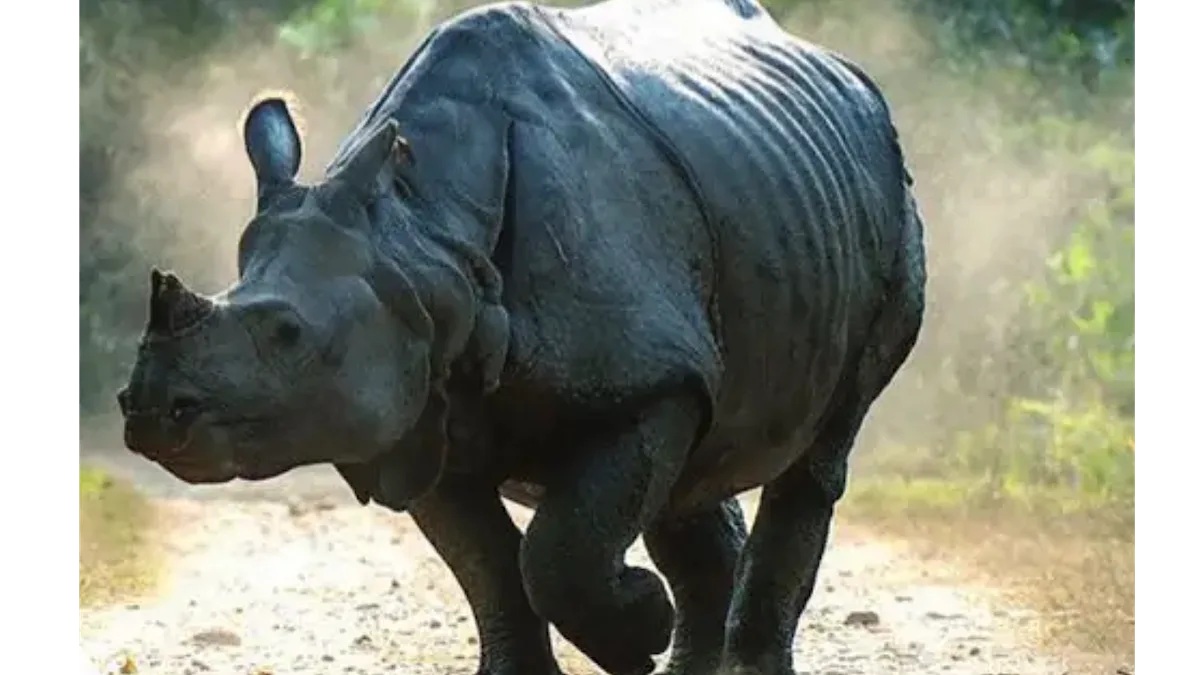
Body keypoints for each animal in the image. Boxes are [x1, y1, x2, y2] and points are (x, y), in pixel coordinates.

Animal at [116, 0, 926, 673]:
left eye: (288, 333)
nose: (150, 410)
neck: (423, 238)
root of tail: (847, 76)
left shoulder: (646, 382)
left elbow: (555, 556)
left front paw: (640, 624)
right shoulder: (422, 401)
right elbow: (491, 568)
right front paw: (614, 631)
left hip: (888, 199)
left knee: (818, 450)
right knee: (696, 461)